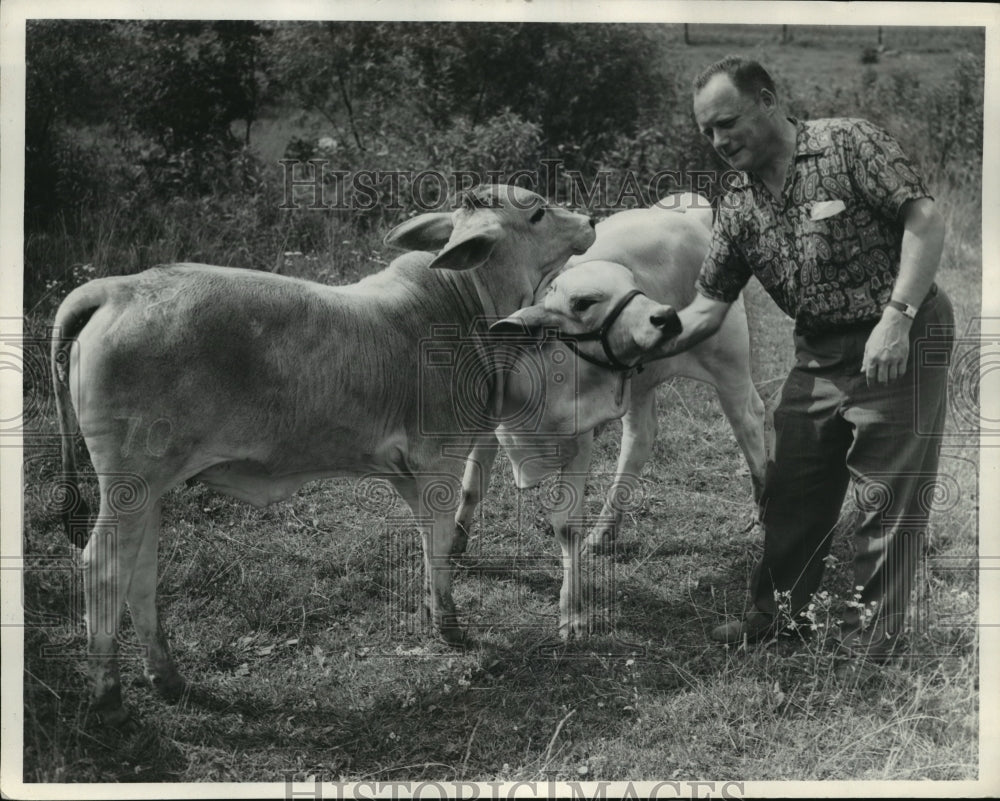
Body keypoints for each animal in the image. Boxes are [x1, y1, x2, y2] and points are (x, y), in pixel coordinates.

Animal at [50, 184, 610, 724]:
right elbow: (438, 546)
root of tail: (114, 288)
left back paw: (167, 677)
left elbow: (432, 542)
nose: (591, 220)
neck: (458, 307)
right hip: (132, 484)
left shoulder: (412, 473)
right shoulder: (438, 465)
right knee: (103, 568)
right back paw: (109, 698)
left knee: (139, 574)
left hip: (146, 491)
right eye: (536, 212)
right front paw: (449, 627)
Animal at [453, 194, 770, 636]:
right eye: (583, 302)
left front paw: (572, 612)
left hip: (730, 365)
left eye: (633, 285)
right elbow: (471, 487)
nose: (666, 317)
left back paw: (762, 507)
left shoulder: (578, 442)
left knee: (748, 420)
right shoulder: (489, 424)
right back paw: (604, 532)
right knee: (640, 437)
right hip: (640, 383)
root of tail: (691, 212)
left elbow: (565, 525)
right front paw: (454, 545)